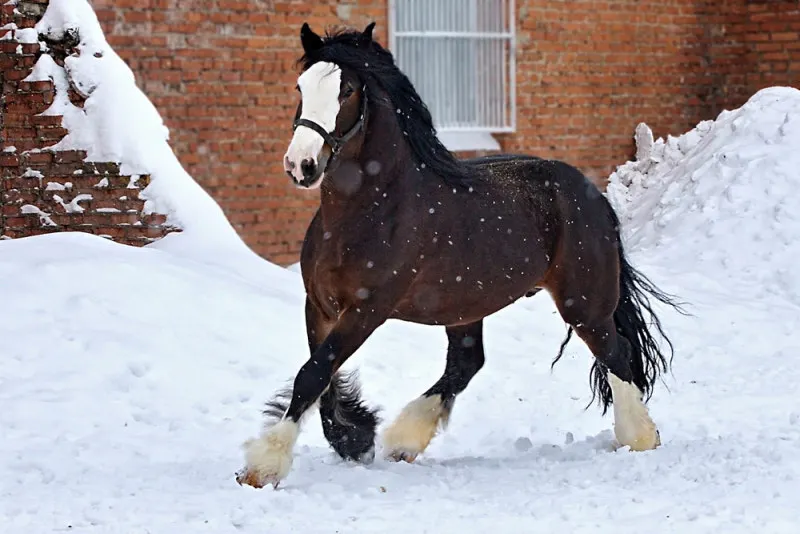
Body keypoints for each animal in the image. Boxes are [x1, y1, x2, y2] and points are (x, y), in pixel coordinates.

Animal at [235, 22, 683, 489]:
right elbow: (321, 375)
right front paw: (353, 439)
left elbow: (314, 373)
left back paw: (640, 438)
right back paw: (404, 440)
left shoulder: (365, 310)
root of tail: (593, 194)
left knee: (616, 355)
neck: (368, 210)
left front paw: (263, 467)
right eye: (300, 86)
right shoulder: (320, 305)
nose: (301, 164)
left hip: (584, 305)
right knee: (467, 363)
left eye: (347, 90)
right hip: (466, 305)